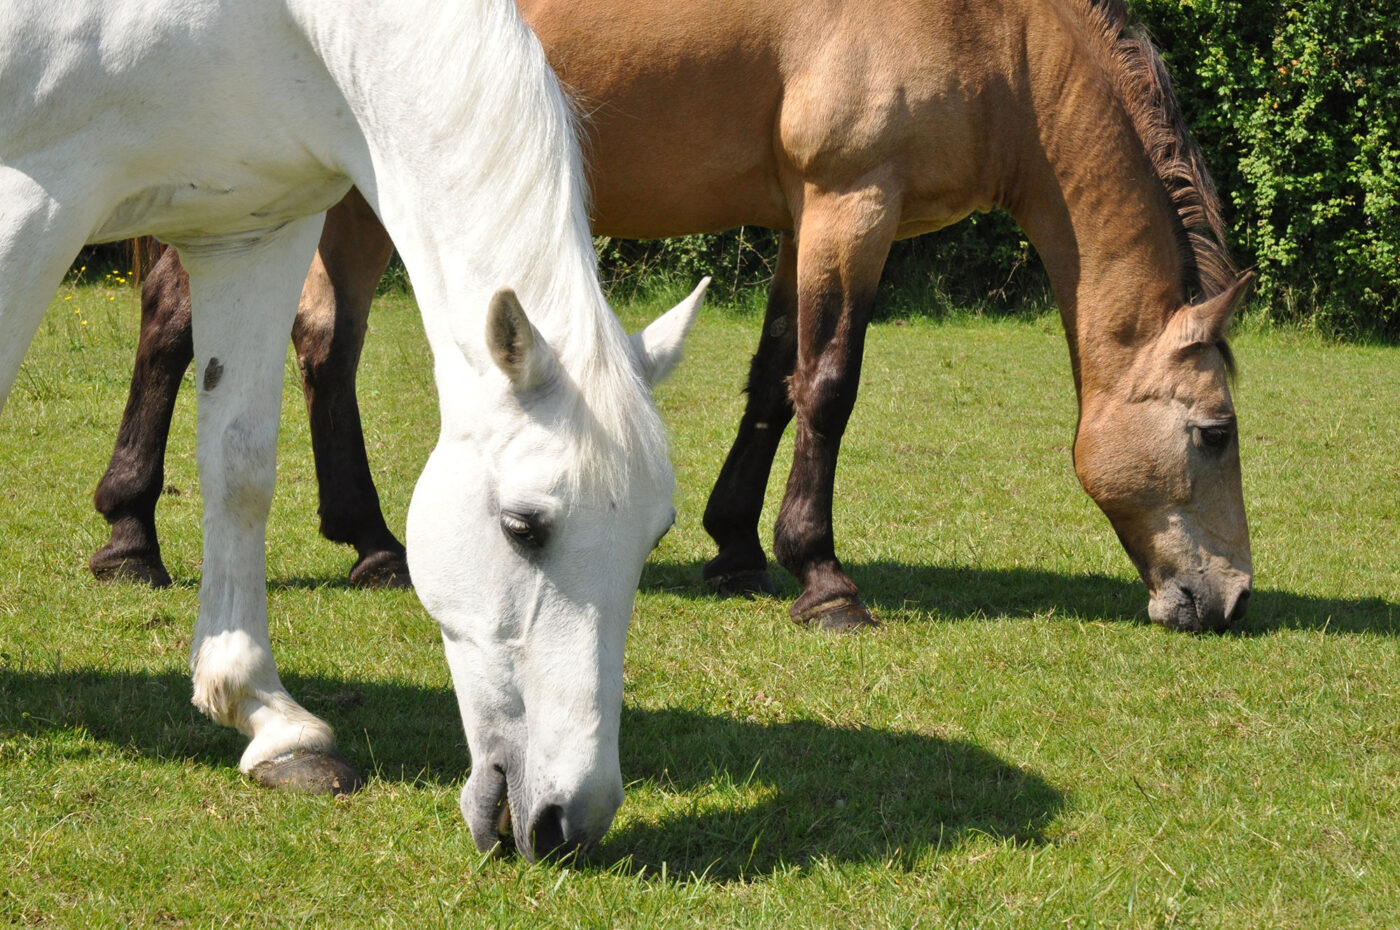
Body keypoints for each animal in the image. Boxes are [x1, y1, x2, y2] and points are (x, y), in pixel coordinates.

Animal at [0, 0, 700, 862]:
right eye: (523, 527)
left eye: (654, 536)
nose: (571, 821)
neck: (269, 24)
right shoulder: (32, 199)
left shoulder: (252, 233)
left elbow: (240, 467)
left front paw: (264, 716)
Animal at [93, 0, 1254, 633]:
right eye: (1214, 433)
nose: (1233, 599)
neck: (997, 31)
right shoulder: (853, 201)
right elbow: (830, 386)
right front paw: (823, 578)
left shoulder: (802, 216)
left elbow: (774, 380)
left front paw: (738, 546)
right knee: (179, 329)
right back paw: (130, 537)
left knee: (323, 345)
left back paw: (370, 543)